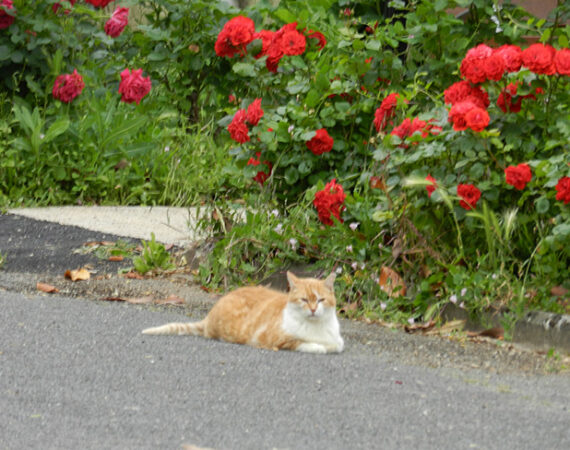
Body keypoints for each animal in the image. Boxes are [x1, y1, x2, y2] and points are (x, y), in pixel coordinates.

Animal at [142, 271, 344, 354]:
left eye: (320, 300)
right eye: (304, 300)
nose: (313, 309)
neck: (316, 327)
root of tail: (209, 315)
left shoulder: (338, 340)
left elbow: (338, 345)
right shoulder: (275, 340)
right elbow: (306, 343)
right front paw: (319, 346)